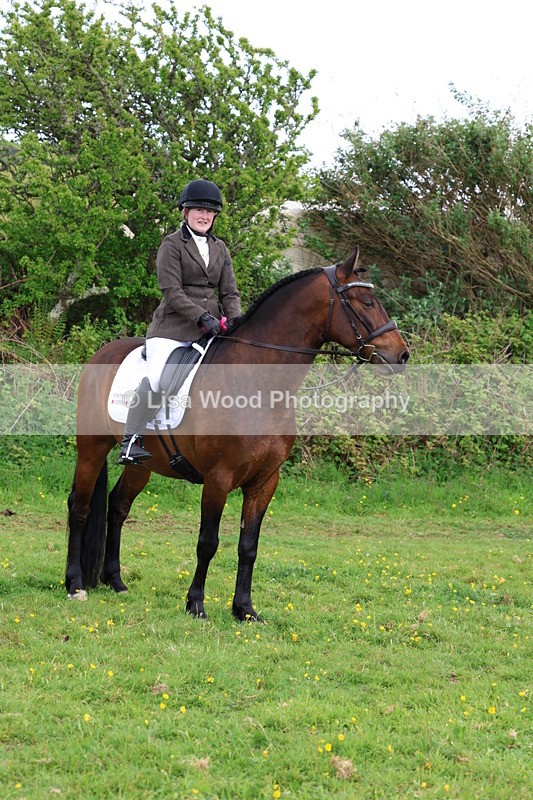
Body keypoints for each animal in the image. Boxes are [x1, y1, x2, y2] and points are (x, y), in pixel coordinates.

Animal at [66, 249, 409, 621]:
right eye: (367, 302)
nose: (402, 354)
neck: (259, 382)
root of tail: (102, 353)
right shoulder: (219, 478)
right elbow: (208, 542)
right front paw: (196, 604)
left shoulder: (264, 481)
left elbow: (249, 546)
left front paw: (244, 609)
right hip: (91, 450)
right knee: (80, 507)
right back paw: (74, 585)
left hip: (141, 464)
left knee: (118, 506)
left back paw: (115, 581)